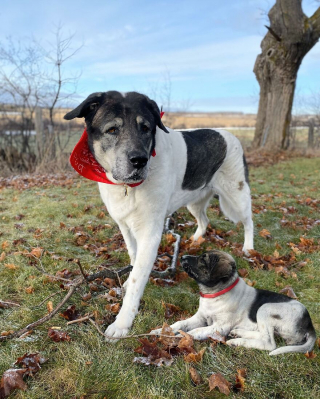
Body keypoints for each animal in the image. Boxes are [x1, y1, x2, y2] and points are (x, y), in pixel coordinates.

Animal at [65, 92, 254, 342]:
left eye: (146, 128)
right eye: (112, 129)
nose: (139, 160)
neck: (128, 187)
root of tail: (230, 135)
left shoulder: (150, 234)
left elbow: (138, 280)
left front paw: (122, 324)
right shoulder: (125, 226)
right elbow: (134, 260)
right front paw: (128, 282)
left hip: (237, 194)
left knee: (249, 221)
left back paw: (249, 248)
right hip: (194, 200)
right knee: (204, 220)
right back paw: (195, 240)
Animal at [153, 252, 318, 354]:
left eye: (203, 259)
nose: (182, 257)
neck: (214, 295)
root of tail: (309, 325)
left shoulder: (220, 326)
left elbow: (195, 331)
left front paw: (179, 337)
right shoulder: (200, 317)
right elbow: (180, 323)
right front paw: (161, 331)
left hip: (265, 308)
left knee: (269, 343)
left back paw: (237, 341)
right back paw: (238, 333)